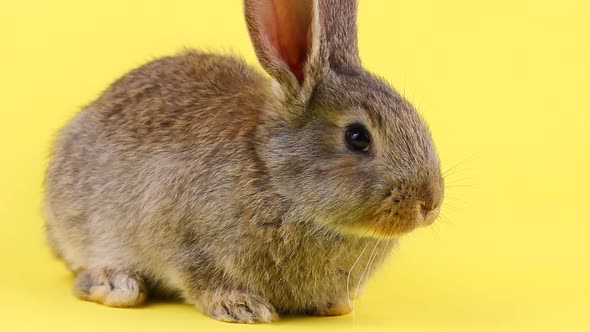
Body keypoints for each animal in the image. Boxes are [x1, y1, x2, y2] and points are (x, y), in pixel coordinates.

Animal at [45, 0, 444, 322]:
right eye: (357, 137)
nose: (429, 203)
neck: (275, 177)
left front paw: (334, 305)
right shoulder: (184, 239)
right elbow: (200, 278)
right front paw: (240, 306)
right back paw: (115, 284)